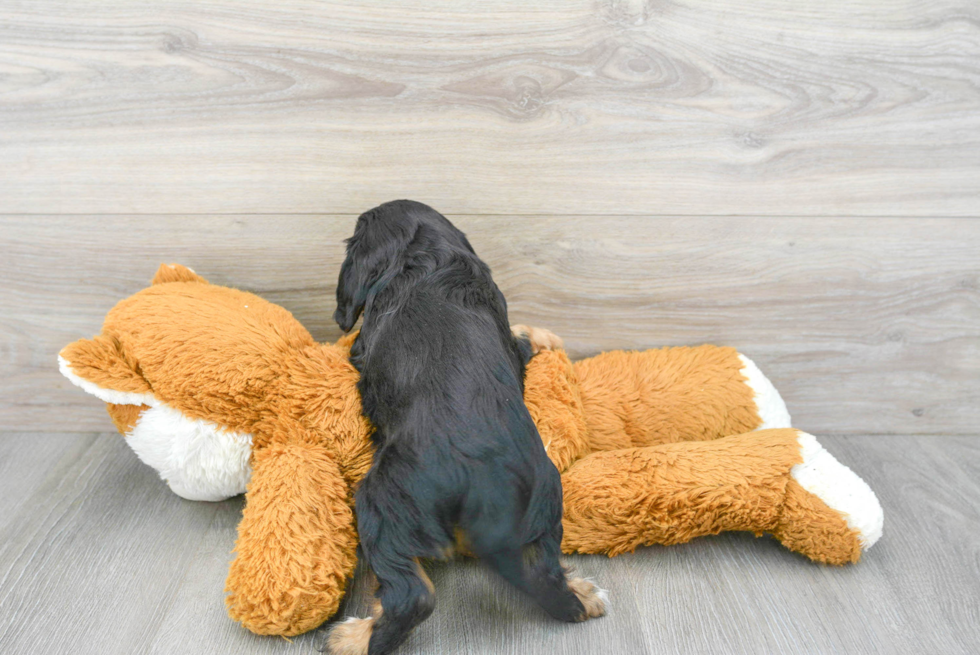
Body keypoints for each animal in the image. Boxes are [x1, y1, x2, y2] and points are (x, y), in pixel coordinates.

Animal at [330, 200, 604, 655]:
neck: (426, 254)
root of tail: (484, 485)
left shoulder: (362, 346)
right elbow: (519, 336)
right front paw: (546, 337)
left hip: (381, 501)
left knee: (411, 597)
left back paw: (353, 638)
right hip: (546, 502)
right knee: (543, 574)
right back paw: (581, 596)